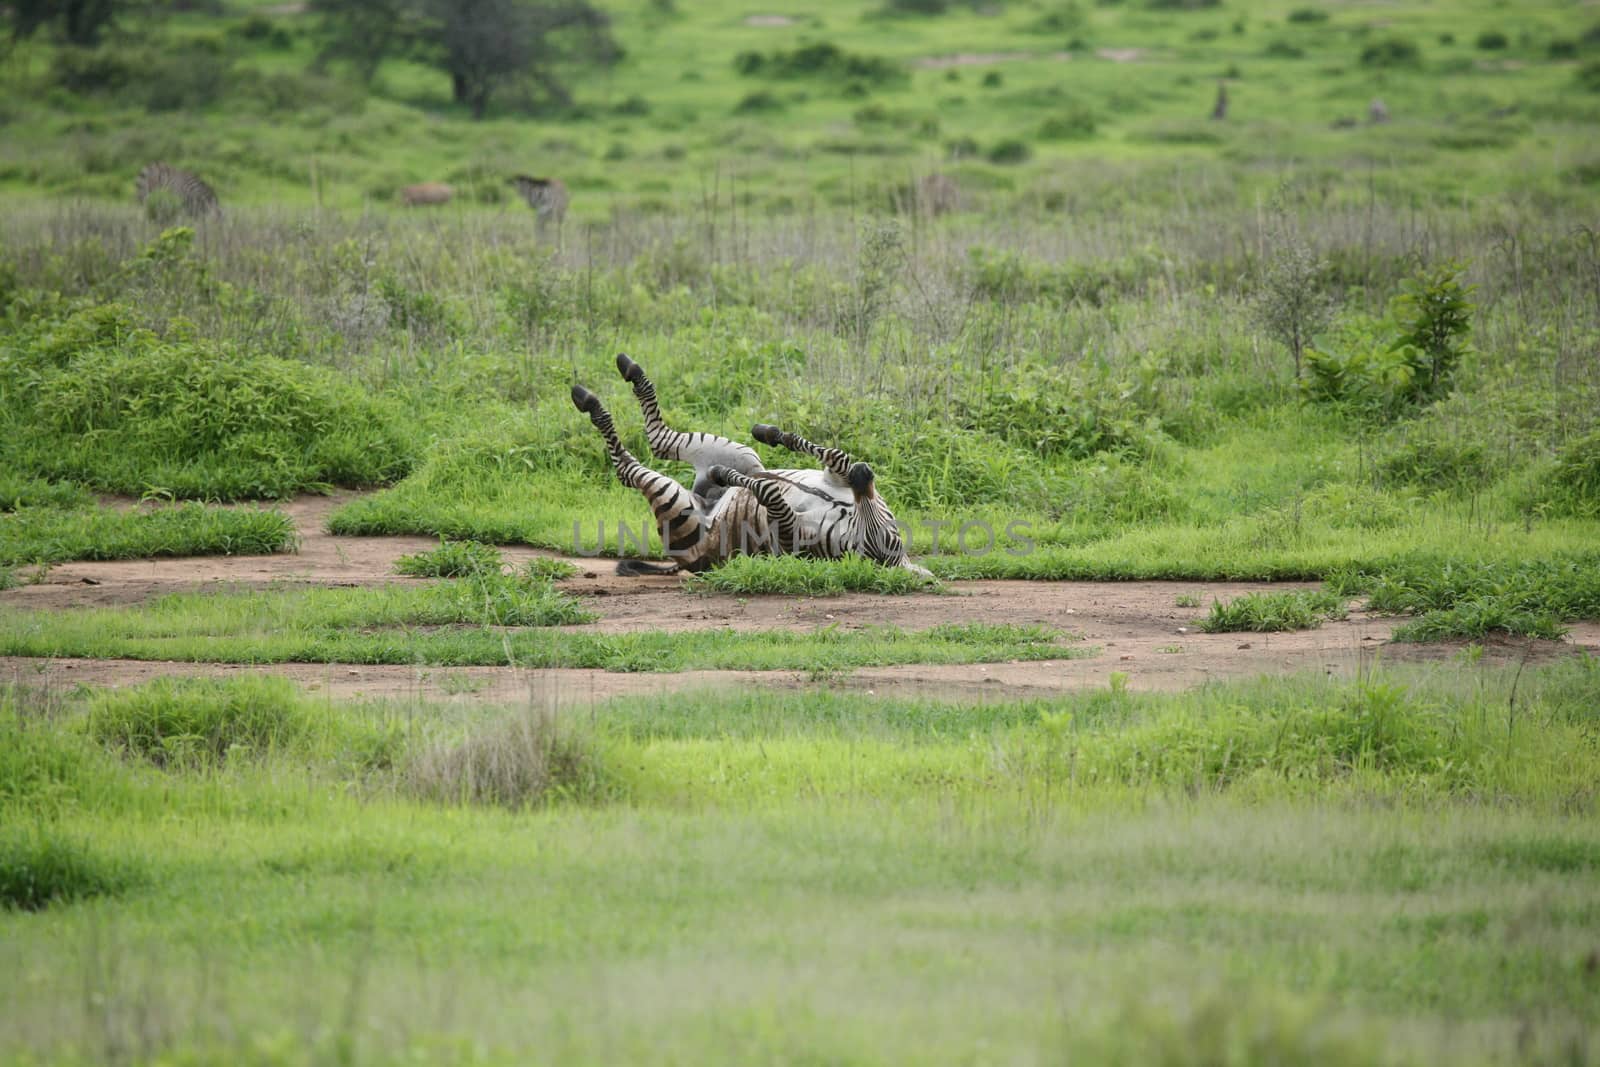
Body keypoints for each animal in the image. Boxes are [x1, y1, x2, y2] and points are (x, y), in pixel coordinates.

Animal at [569, 355, 934, 579]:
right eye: (891, 534)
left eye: (883, 545)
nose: (865, 474)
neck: (849, 519)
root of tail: (703, 498)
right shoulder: (839, 477)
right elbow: (835, 455)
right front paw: (773, 433)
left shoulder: (790, 538)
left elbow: (770, 491)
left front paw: (728, 474)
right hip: (740, 453)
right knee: (660, 439)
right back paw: (620, 376)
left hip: (679, 513)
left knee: (630, 466)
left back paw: (593, 401)